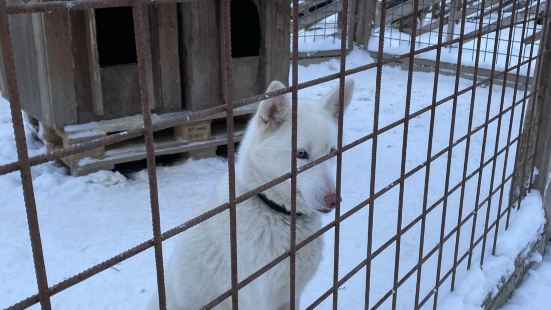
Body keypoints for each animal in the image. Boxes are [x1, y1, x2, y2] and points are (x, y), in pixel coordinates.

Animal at [148, 79, 354, 310]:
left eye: (331, 152)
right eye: (301, 154)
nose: (335, 200)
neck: (275, 210)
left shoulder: (291, 295)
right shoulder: (261, 301)